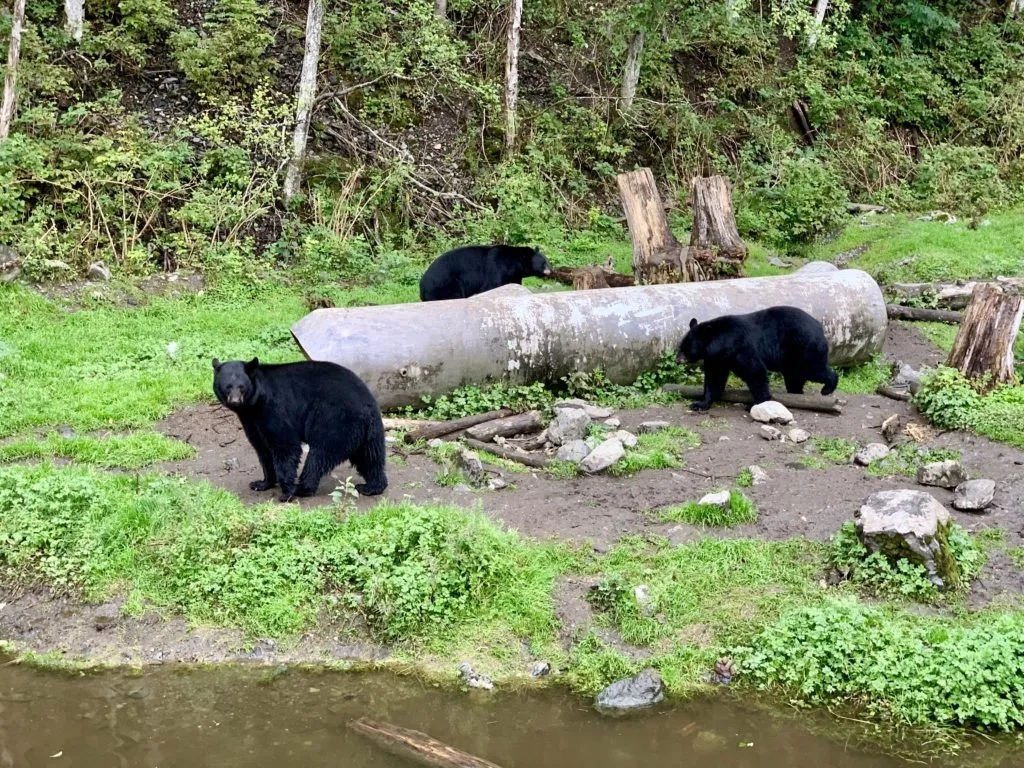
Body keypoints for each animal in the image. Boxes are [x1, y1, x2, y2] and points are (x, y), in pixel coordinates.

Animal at [211, 360, 387, 505]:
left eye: (241, 386)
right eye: (227, 386)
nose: (235, 401)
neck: (253, 406)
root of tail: (367, 407)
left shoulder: (274, 408)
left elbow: (285, 445)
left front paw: (286, 492)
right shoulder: (251, 421)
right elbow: (262, 449)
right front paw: (261, 483)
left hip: (334, 421)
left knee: (319, 456)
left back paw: (302, 488)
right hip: (367, 432)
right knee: (370, 457)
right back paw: (372, 486)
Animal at [671, 307, 839, 415]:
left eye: (687, 348)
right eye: (681, 346)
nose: (677, 360)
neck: (723, 343)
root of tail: (820, 326)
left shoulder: (741, 349)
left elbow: (755, 371)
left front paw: (756, 403)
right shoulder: (717, 358)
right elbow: (714, 379)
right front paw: (700, 404)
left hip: (803, 347)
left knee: (813, 369)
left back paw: (827, 388)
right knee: (794, 377)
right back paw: (796, 394)